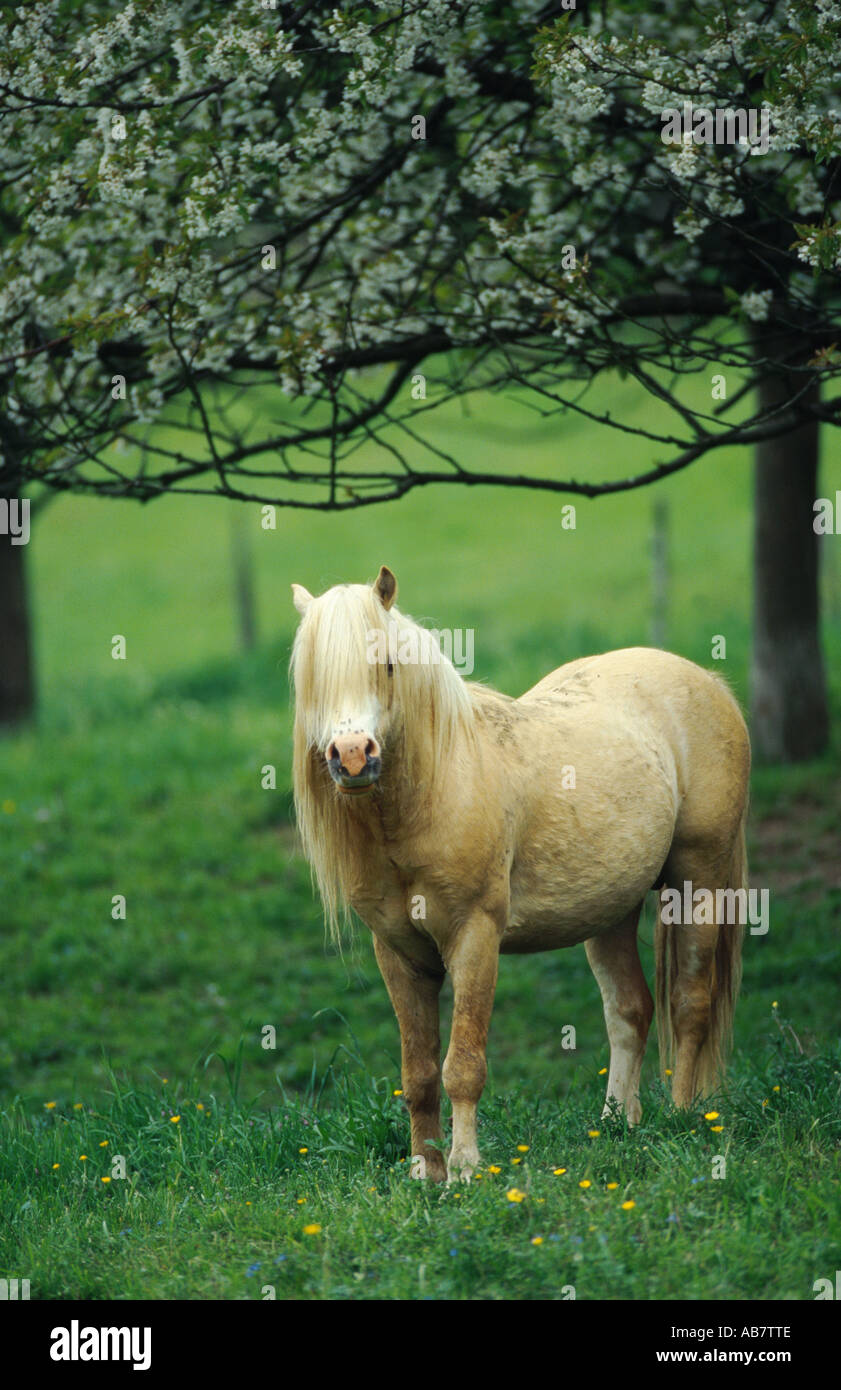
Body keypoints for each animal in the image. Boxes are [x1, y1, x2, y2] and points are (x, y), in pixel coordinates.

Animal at [290, 566, 751, 1182]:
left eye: (387, 664)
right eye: (311, 678)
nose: (353, 756)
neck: (435, 791)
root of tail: (709, 681)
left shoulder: (474, 937)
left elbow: (462, 1064)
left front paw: (463, 1169)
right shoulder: (399, 953)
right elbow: (419, 1072)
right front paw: (425, 1170)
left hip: (699, 879)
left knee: (689, 1003)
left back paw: (683, 1117)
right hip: (612, 910)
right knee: (630, 1010)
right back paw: (617, 1124)